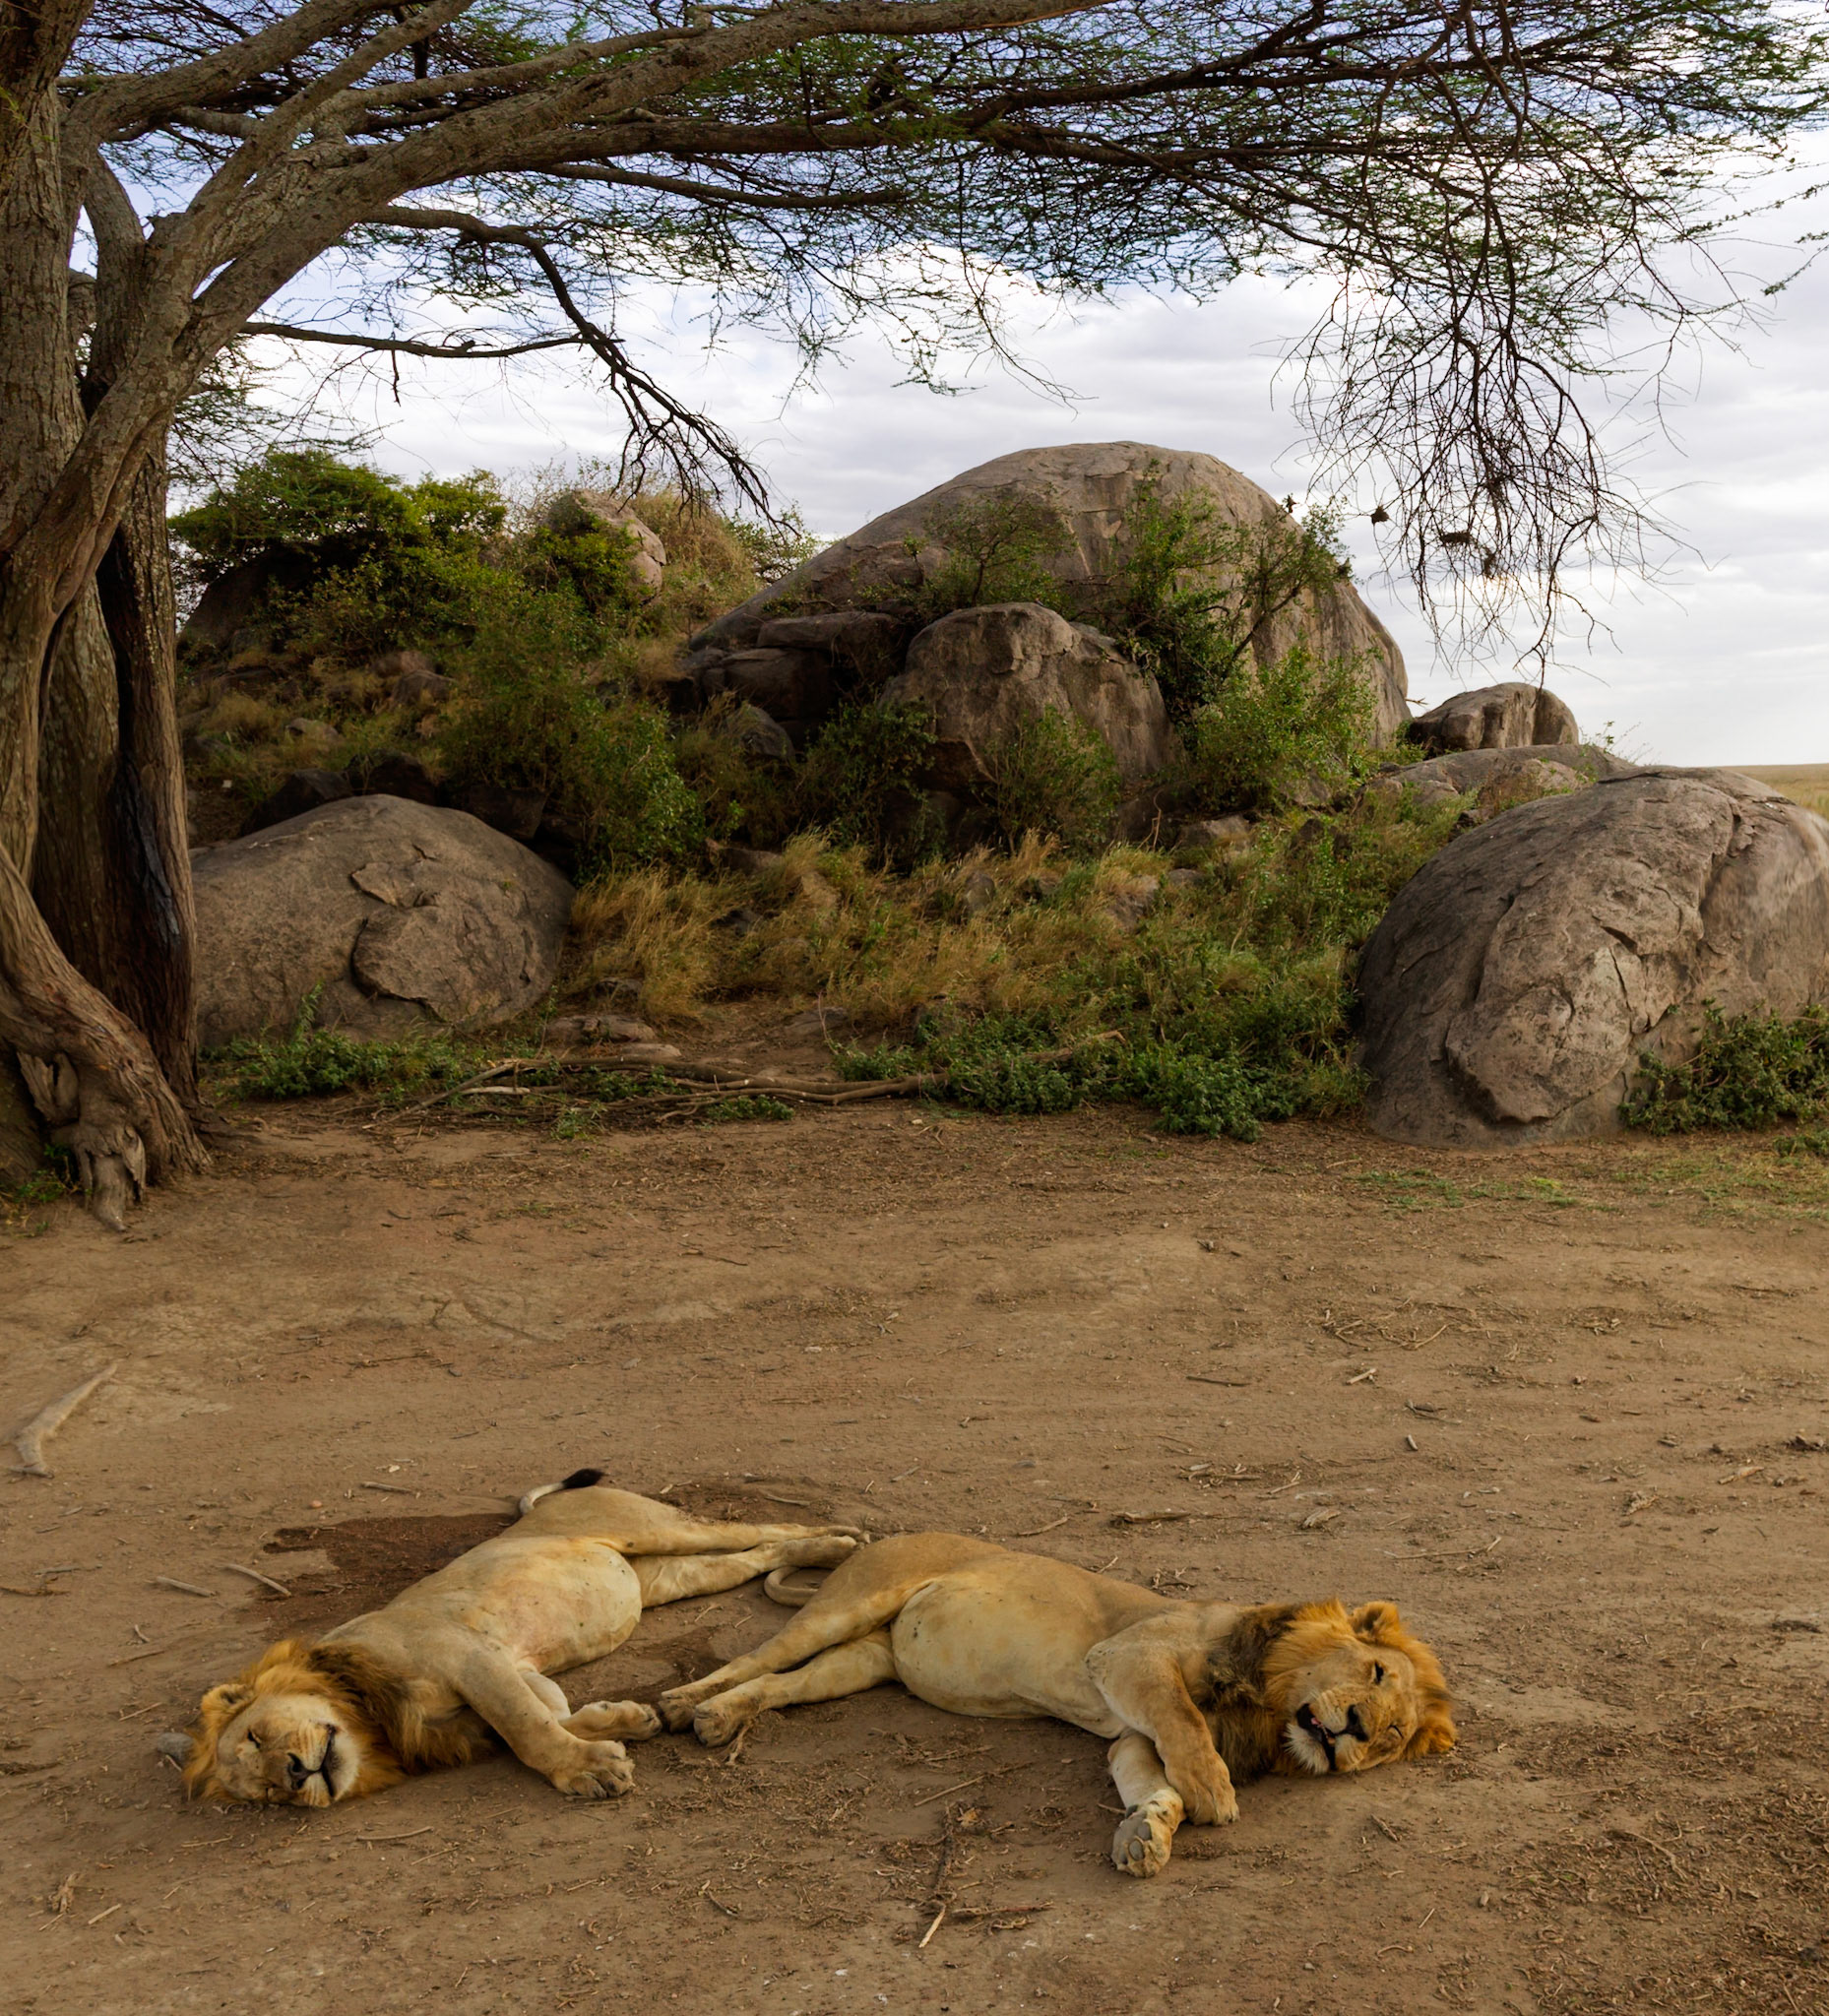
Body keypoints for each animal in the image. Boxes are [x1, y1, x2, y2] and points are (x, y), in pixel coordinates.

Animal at [180, 1473, 859, 1806]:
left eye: (257, 1735)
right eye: (269, 1796)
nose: (297, 1776)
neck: (369, 1716)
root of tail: (542, 1507)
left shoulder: (467, 1656)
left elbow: (526, 1730)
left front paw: (589, 1772)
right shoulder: (512, 1669)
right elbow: (547, 1711)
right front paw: (624, 1720)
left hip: (654, 1526)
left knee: (763, 1527)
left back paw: (845, 1539)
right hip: (662, 1577)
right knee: (756, 1555)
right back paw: (828, 1551)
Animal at [658, 1533, 1454, 1876]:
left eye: (1391, 1736)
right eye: (1375, 1673)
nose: (1356, 1731)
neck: (1270, 1709)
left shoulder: (1131, 1735)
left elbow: (1153, 1780)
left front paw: (1146, 1835)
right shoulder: (1129, 1657)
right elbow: (1186, 1728)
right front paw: (1215, 1794)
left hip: (865, 1659)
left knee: (786, 1684)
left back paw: (721, 1719)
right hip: (852, 1602)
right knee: (755, 1658)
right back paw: (677, 1705)